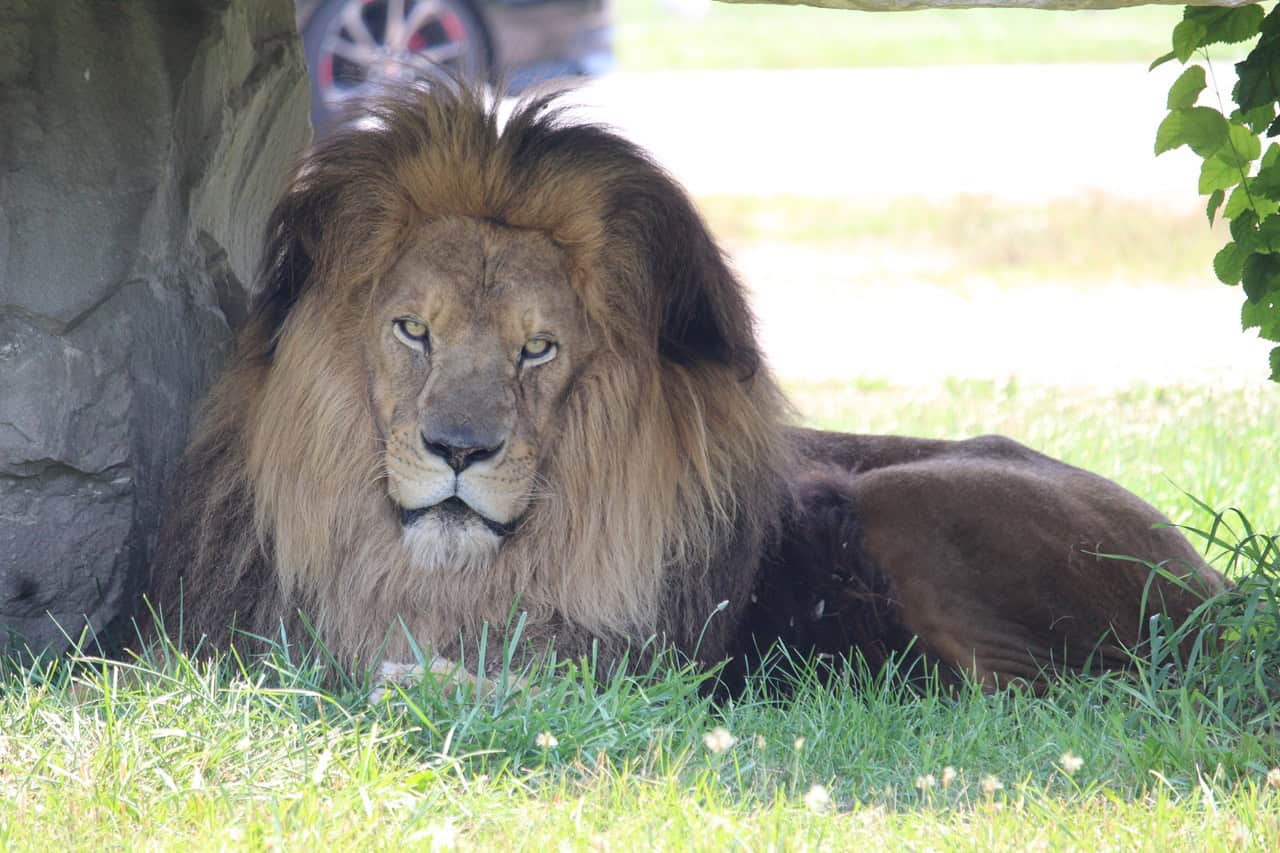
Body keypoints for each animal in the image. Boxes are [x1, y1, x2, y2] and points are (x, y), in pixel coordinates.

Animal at [145, 86, 1225, 692]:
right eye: (413, 330)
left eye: (538, 349)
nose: (458, 450)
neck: (437, 576)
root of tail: (1220, 585)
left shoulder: (623, 668)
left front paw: (427, 683)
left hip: (909, 499)